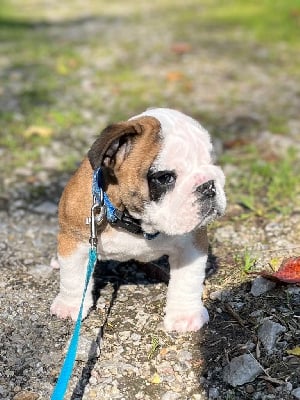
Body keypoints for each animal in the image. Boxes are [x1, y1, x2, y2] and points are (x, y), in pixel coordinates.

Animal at [51, 108, 225, 332]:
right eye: (165, 177)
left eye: (212, 162)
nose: (208, 185)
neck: (135, 222)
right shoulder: (75, 239)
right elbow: (73, 277)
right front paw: (69, 305)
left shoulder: (193, 243)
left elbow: (188, 280)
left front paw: (185, 315)